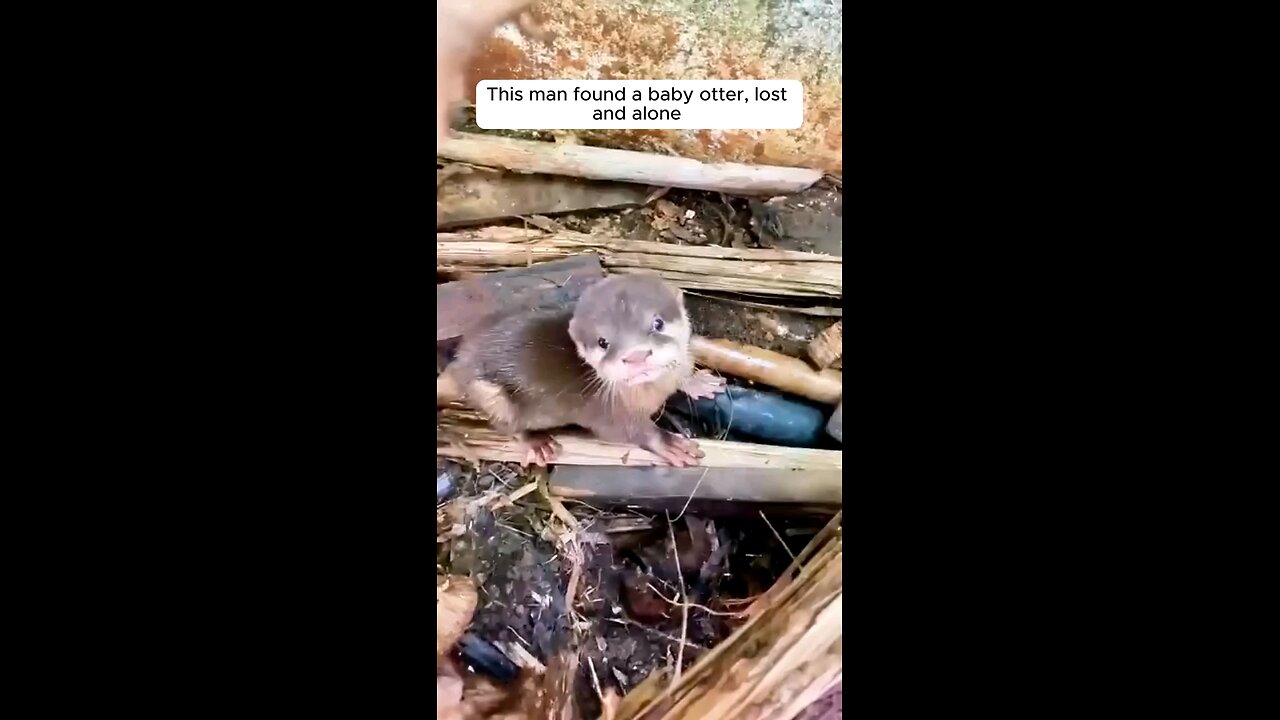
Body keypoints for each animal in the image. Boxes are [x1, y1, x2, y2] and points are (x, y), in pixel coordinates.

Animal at [445, 272, 727, 466]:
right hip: (490, 394)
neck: (653, 392)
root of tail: (460, 361)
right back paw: (537, 443)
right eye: (603, 342)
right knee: (504, 424)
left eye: (657, 323)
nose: (636, 356)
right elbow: (629, 432)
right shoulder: (606, 413)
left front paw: (698, 382)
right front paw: (669, 443)